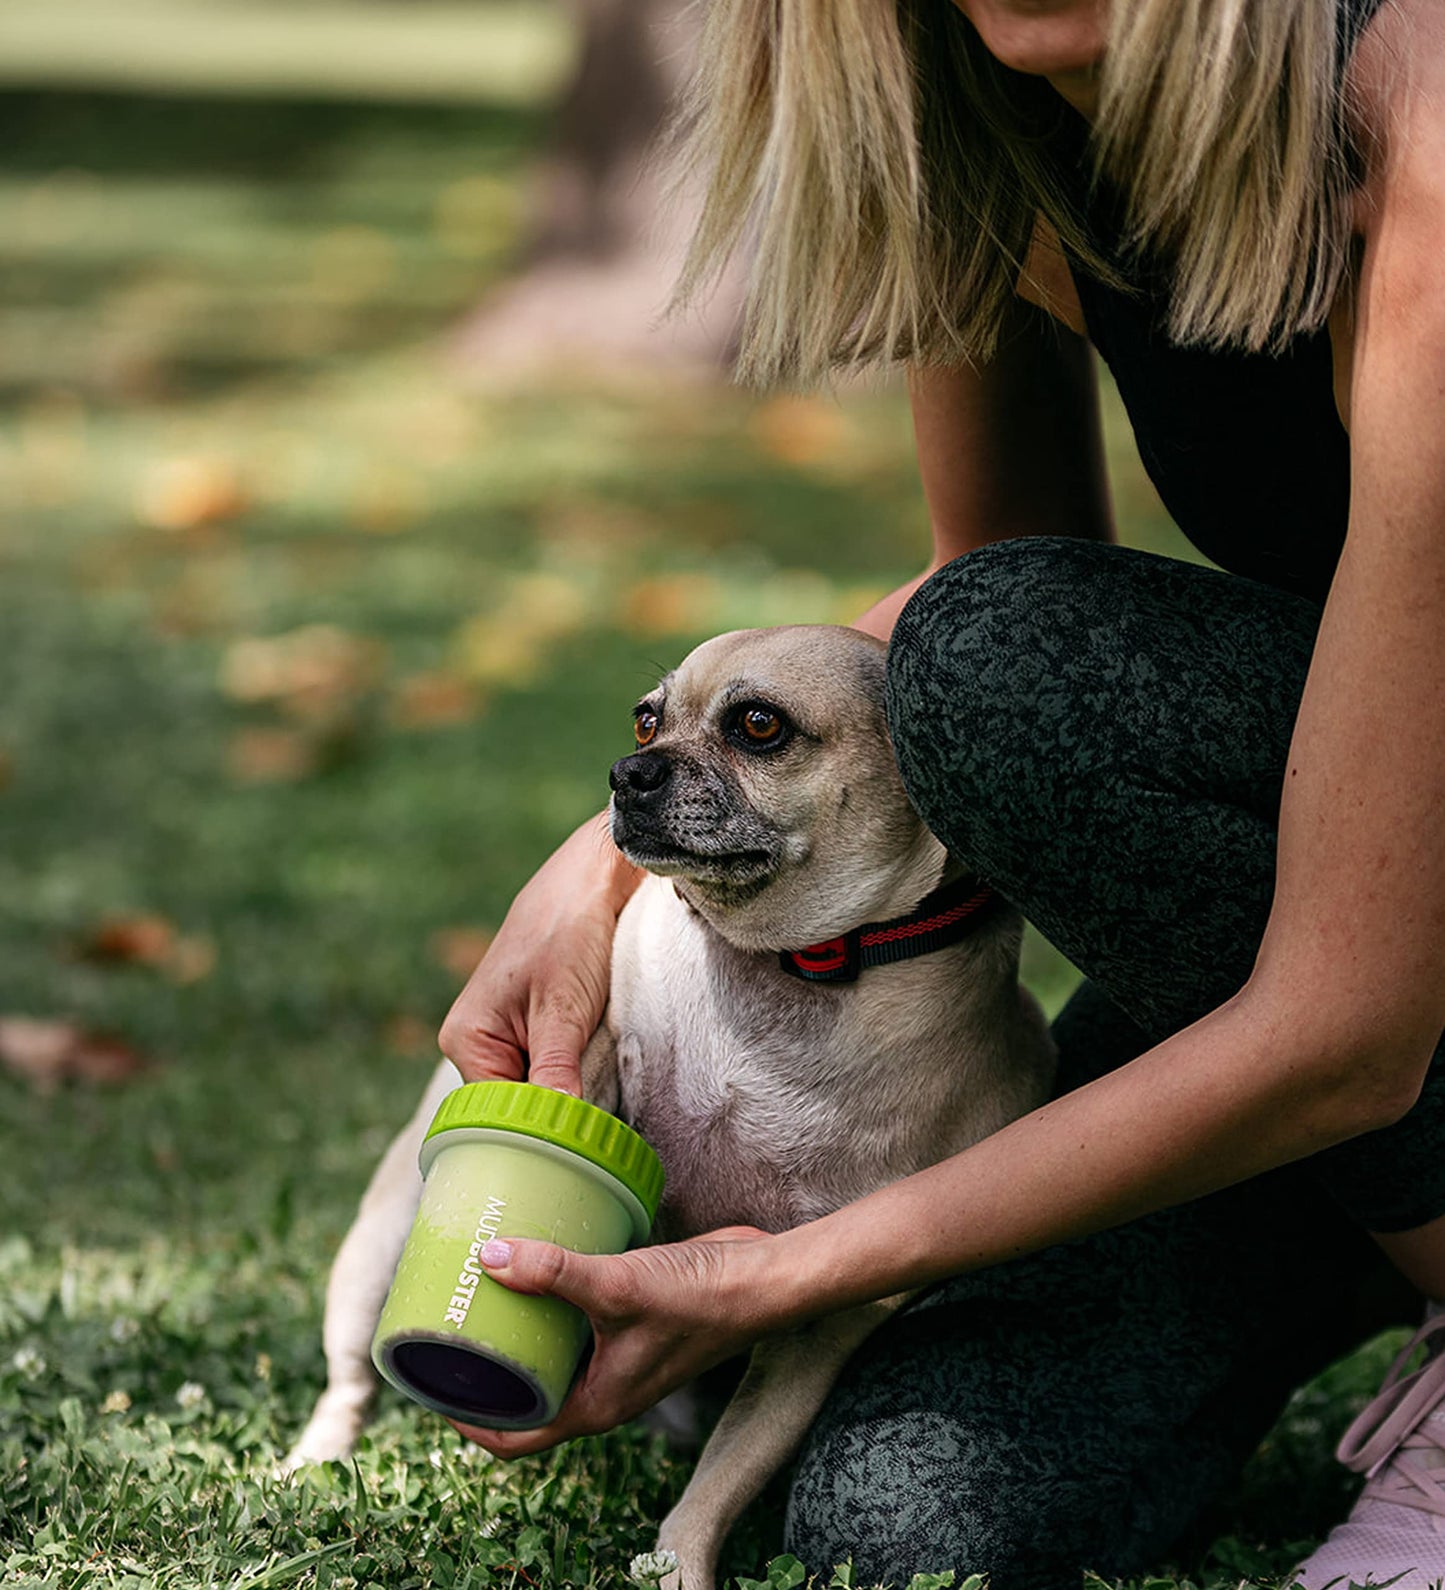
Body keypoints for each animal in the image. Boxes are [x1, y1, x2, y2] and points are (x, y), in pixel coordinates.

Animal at [284, 626, 1049, 1590]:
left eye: (758, 724)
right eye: (645, 721)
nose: (626, 771)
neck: (784, 966)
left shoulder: (821, 1326)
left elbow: (726, 1471)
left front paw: (677, 1563)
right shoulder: (590, 1034)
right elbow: (586, 1078)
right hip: (377, 1247)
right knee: (349, 1377)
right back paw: (310, 1463)